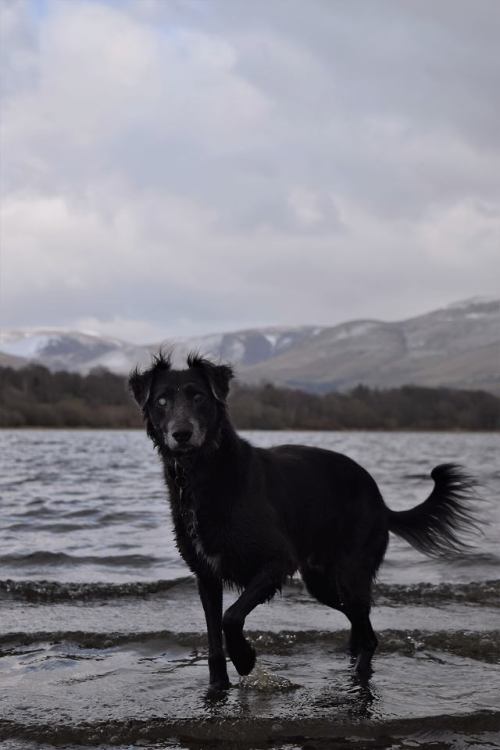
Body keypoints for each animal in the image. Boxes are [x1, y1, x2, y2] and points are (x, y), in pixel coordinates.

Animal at [129, 352, 476, 692]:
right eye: (161, 401)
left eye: (199, 396)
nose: (181, 434)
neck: (203, 474)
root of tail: (381, 502)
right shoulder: (206, 577)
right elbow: (214, 640)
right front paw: (218, 687)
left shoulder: (277, 562)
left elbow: (231, 616)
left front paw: (245, 658)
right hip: (322, 582)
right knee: (360, 626)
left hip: (350, 574)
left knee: (369, 636)